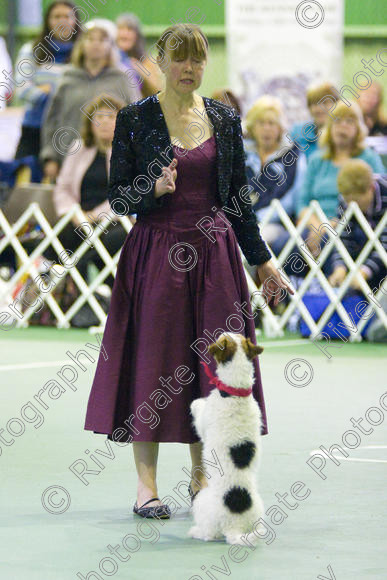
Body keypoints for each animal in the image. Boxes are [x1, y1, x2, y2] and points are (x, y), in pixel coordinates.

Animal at [189, 334, 266, 548]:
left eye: (222, 339)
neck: (236, 391)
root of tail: (235, 526)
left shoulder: (204, 421)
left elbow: (199, 410)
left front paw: (195, 402)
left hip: (201, 502)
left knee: (209, 534)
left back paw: (195, 532)